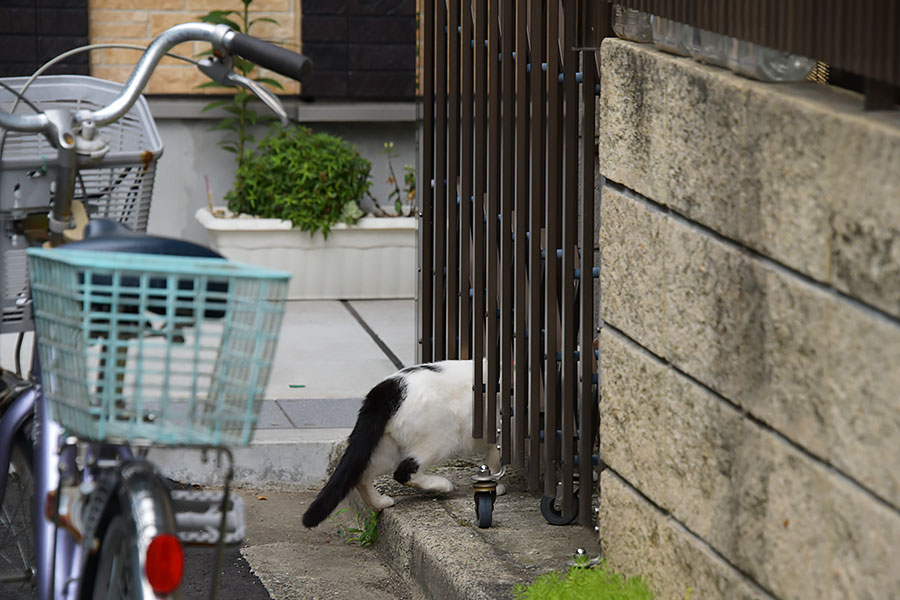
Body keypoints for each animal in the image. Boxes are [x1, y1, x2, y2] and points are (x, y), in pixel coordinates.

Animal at [300, 358, 500, 528]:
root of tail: (388, 388)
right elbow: (495, 461)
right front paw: (494, 486)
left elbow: (492, 460)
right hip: (444, 437)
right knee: (405, 471)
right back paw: (443, 485)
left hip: (387, 449)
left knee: (362, 475)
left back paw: (379, 503)